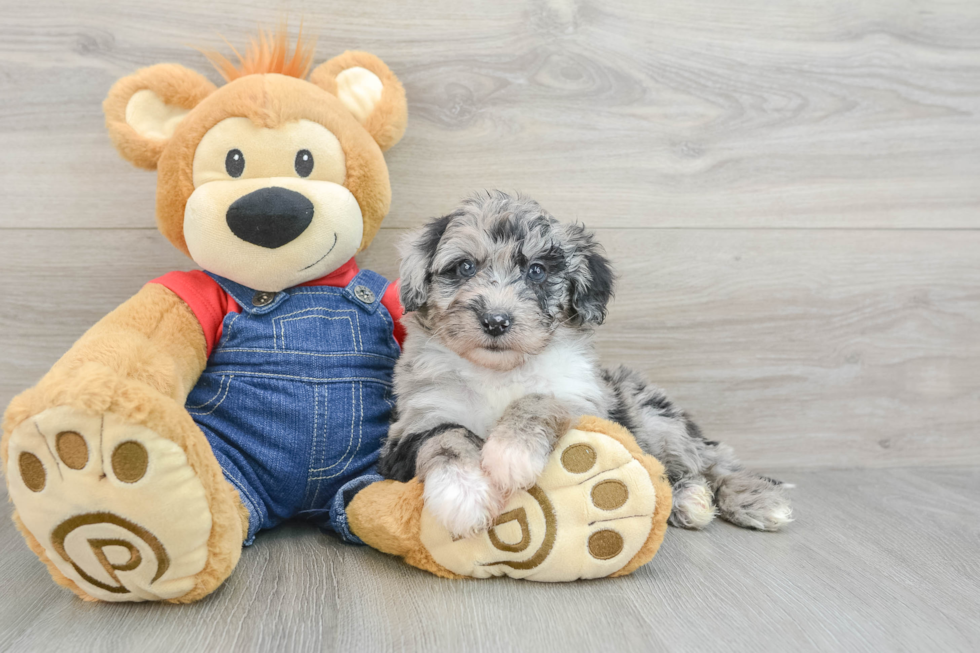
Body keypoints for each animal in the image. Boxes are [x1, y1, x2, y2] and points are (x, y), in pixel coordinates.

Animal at [378, 191, 792, 536]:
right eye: (464, 267)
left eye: (538, 271)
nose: (496, 321)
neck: (500, 371)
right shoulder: (412, 426)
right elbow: (445, 439)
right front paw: (464, 495)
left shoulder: (586, 404)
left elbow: (542, 399)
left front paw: (511, 453)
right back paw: (690, 498)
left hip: (652, 414)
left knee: (710, 461)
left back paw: (751, 499)